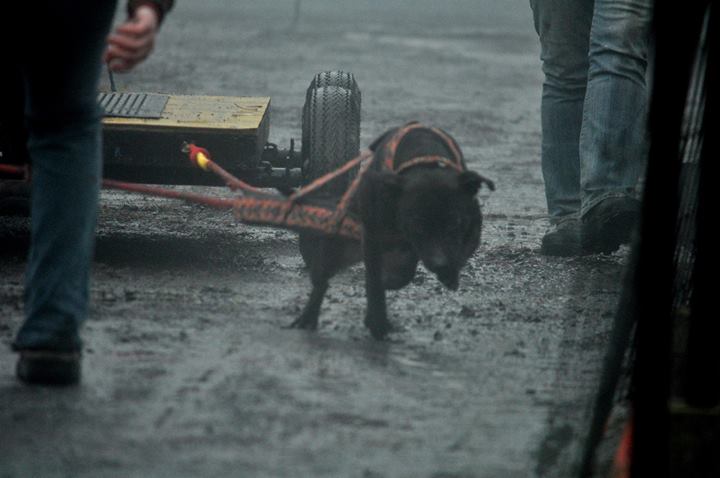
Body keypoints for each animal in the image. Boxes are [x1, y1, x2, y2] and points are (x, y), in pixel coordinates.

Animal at [290, 123, 492, 340]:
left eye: (455, 223)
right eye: (417, 226)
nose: (439, 263)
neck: (424, 160)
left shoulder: (472, 228)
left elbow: (458, 253)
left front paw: (449, 274)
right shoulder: (372, 238)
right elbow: (375, 281)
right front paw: (378, 322)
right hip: (338, 247)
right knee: (322, 282)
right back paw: (308, 317)